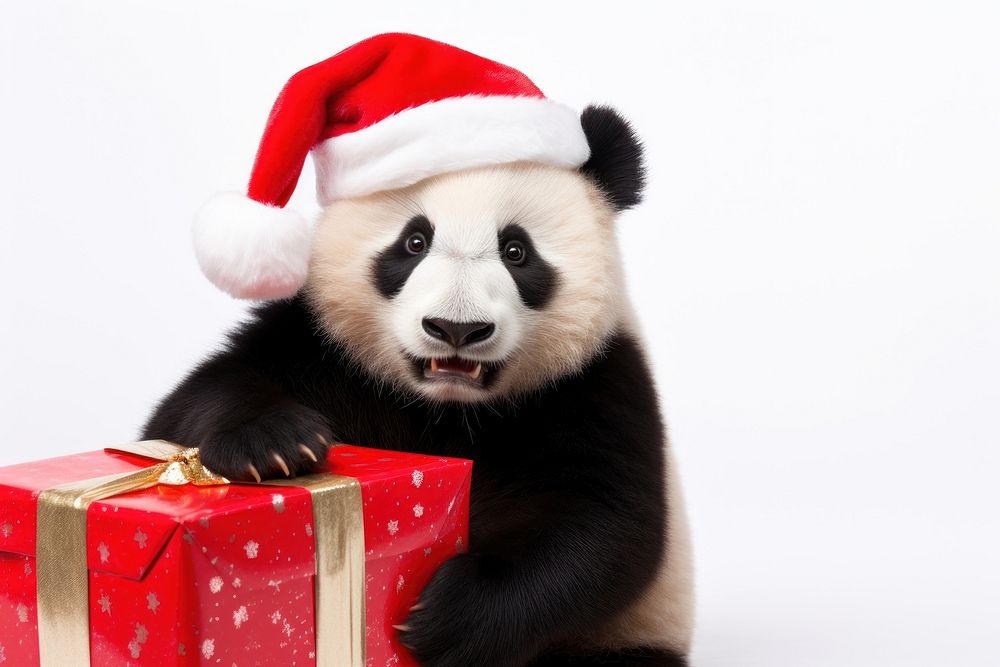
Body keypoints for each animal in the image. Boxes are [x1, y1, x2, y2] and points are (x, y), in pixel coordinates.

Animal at [143, 34, 696, 667]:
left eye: (517, 251)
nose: (456, 329)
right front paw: (275, 443)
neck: (443, 406)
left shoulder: (595, 380)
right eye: (413, 241)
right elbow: (191, 405)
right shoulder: (320, 344)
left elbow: (605, 525)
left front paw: (445, 616)